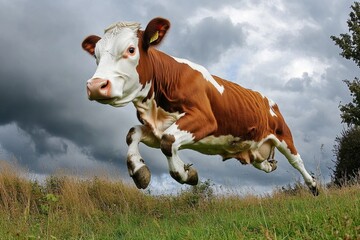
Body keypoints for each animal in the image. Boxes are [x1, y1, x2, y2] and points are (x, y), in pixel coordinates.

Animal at [83, 17, 320, 196]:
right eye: (96, 56)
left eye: (131, 50)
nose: (95, 86)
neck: (155, 107)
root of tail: (266, 98)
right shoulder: (156, 127)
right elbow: (133, 134)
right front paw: (139, 170)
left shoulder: (205, 119)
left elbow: (168, 141)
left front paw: (186, 174)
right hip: (252, 148)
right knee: (263, 163)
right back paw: (272, 165)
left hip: (284, 135)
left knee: (297, 161)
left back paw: (314, 186)